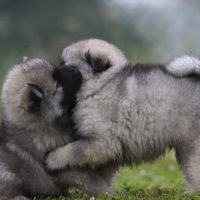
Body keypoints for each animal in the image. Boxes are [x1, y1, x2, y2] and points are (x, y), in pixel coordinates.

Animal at [0, 57, 109, 199]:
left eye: (56, 69)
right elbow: (88, 179)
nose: (76, 70)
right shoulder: (63, 169)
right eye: (57, 83)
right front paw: (104, 192)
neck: (39, 124)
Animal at [46, 38, 200, 193]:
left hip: (190, 145)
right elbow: (103, 173)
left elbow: (73, 150)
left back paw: (191, 192)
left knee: (193, 171)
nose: (52, 72)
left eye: (65, 65)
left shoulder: (101, 141)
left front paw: (53, 158)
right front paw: (103, 190)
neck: (101, 85)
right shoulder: (112, 150)